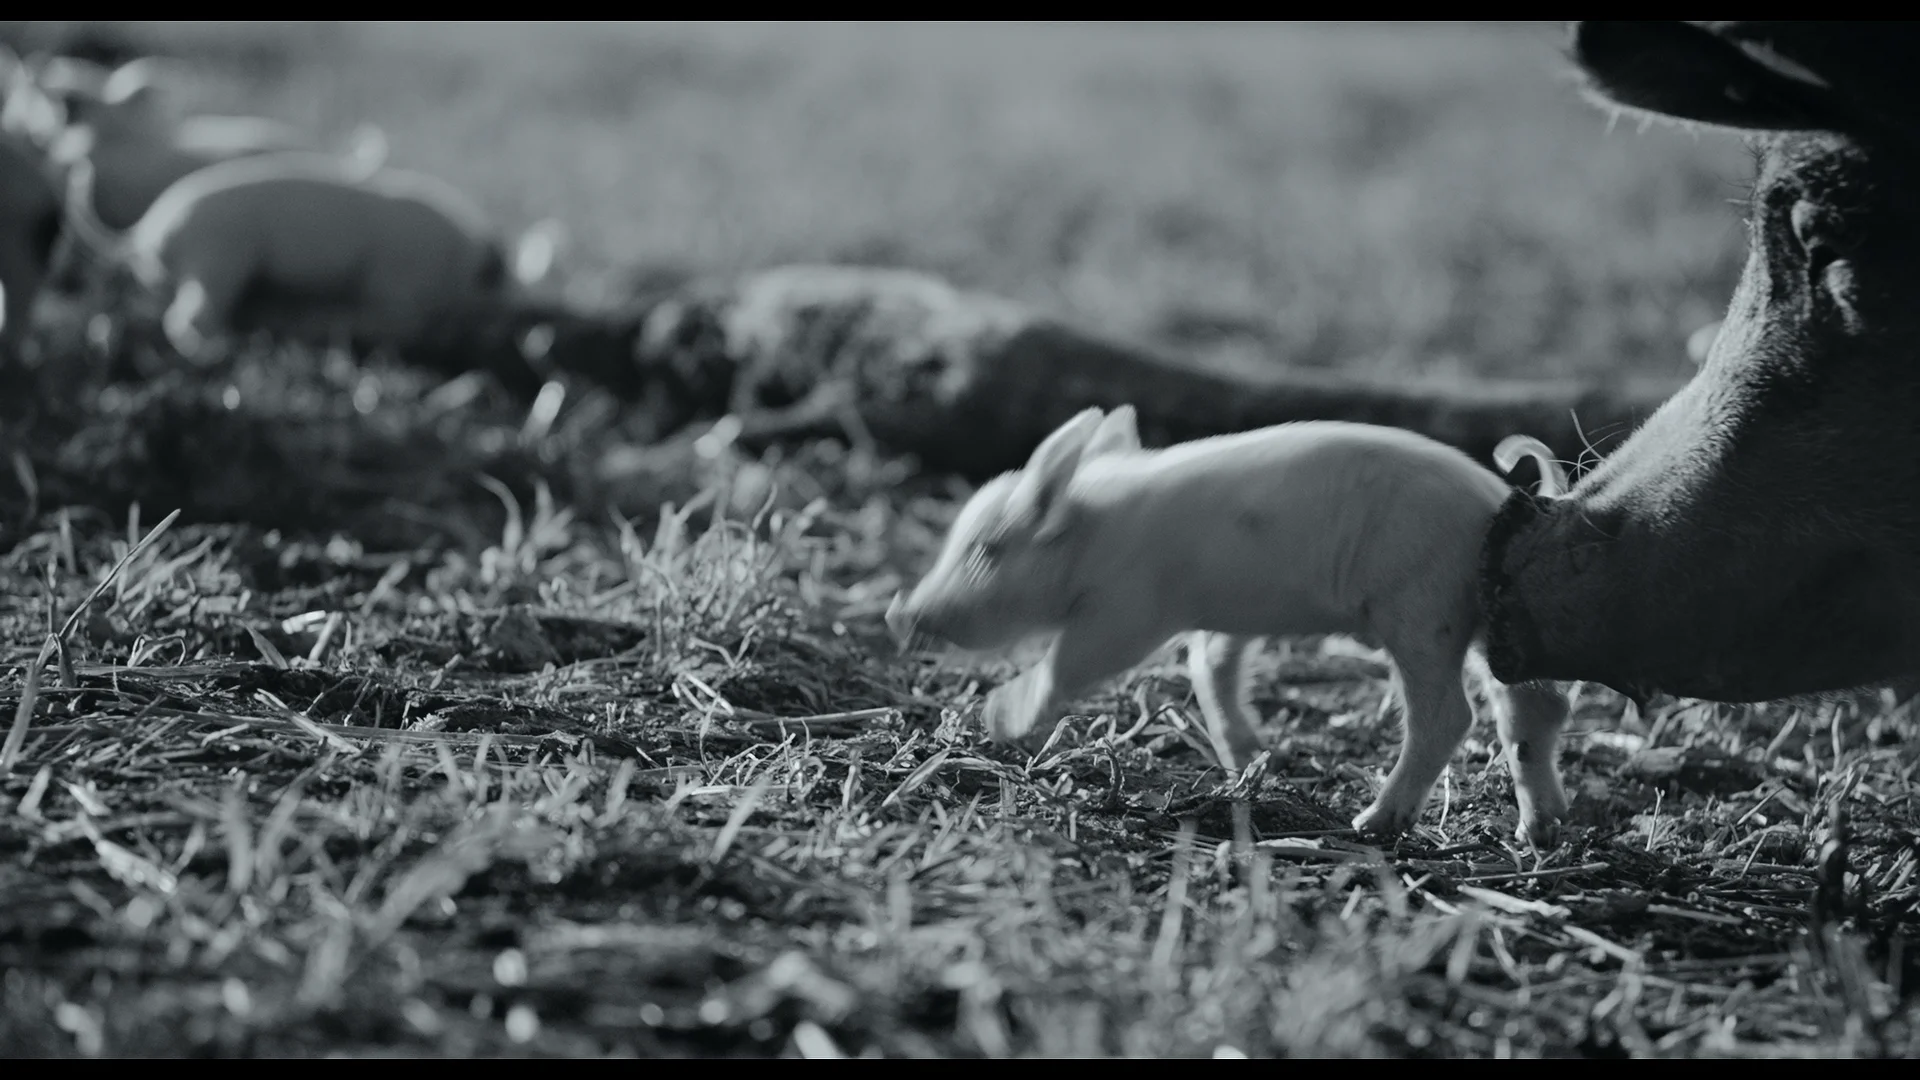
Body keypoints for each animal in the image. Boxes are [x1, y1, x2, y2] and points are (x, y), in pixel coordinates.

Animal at [61, 149, 553, 358]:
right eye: (498, 288)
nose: (508, 331)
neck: (459, 261)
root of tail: (141, 231)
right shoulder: (396, 286)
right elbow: (395, 325)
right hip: (217, 262)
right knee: (185, 319)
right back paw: (219, 352)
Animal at [886, 405, 1574, 847]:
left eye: (987, 550)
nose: (901, 613)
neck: (1094, 536)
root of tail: (1498, 502)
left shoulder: (1130, 607)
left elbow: (1075, 660)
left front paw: (996, 718)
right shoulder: (1224, 612)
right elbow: (1212, 666)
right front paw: (1250, 760)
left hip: (1421, 604)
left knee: (1450, 713)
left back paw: (1372, 825)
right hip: (1495, 622)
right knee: (1536, 707)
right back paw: (1541, 831)